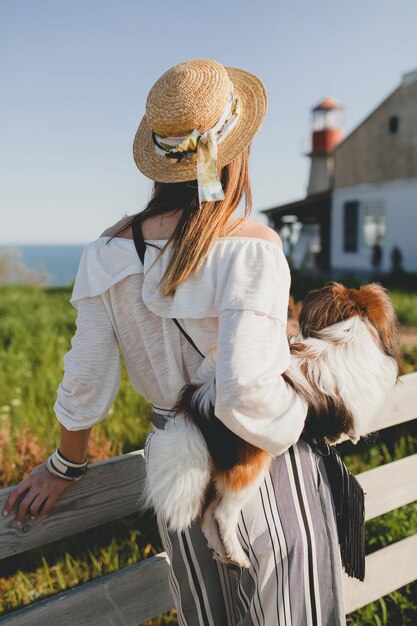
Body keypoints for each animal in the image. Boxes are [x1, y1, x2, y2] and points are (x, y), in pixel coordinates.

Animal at [144, 282, 400, 564]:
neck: (348, 335)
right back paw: (239, 556)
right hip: (248, 469)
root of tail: (198, 398)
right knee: (222, 514)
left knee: (206, 514)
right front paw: (346, 436)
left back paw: (223, 554)